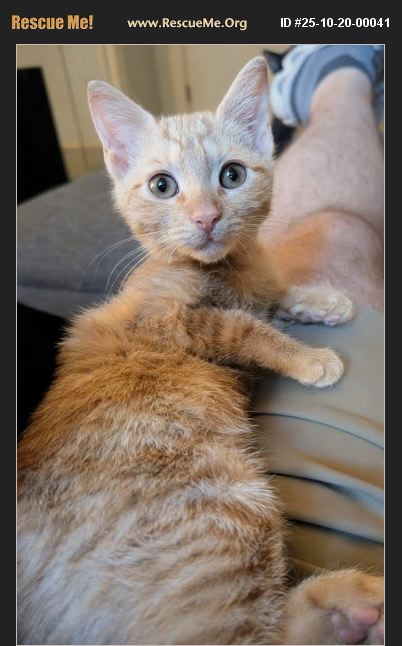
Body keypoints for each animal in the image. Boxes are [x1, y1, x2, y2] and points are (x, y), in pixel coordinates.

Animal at [17, 57, 384, 645]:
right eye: (162, 185)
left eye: (231, 175)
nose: (207, 217)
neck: (223, 268)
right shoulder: (164, 323)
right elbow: (242, 327)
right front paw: (310, 358)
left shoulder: (251, 285)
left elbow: (270, 297)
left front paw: (323, 301)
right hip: (227, 515)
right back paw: (348, 608)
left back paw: (349, 605)